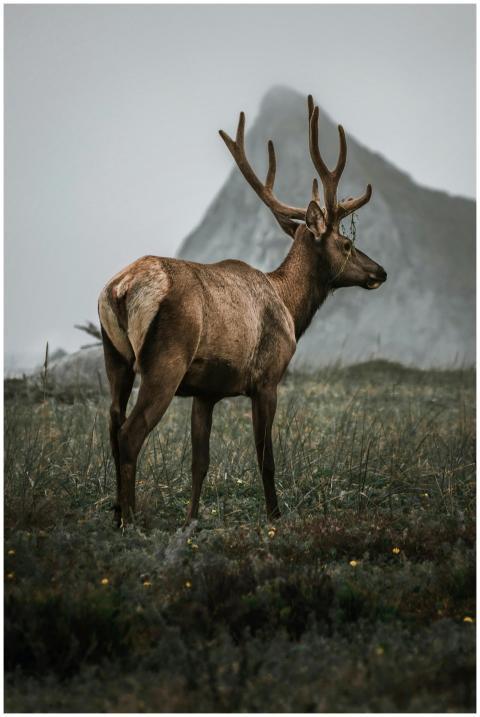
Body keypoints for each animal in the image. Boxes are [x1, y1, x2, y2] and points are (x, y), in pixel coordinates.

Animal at [98, 94, 387, 528]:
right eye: (348, 244)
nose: (380, 271)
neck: (291, 308)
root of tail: (120, 289)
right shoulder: (267, 378)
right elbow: (265, 457)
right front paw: (275, 516)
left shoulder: (206, 392)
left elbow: (200, 462)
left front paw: (191, 520)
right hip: (164, 361)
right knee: (131, 434)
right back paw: (128, 521)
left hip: (114, 357)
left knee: (113, 427)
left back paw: (117, 513)